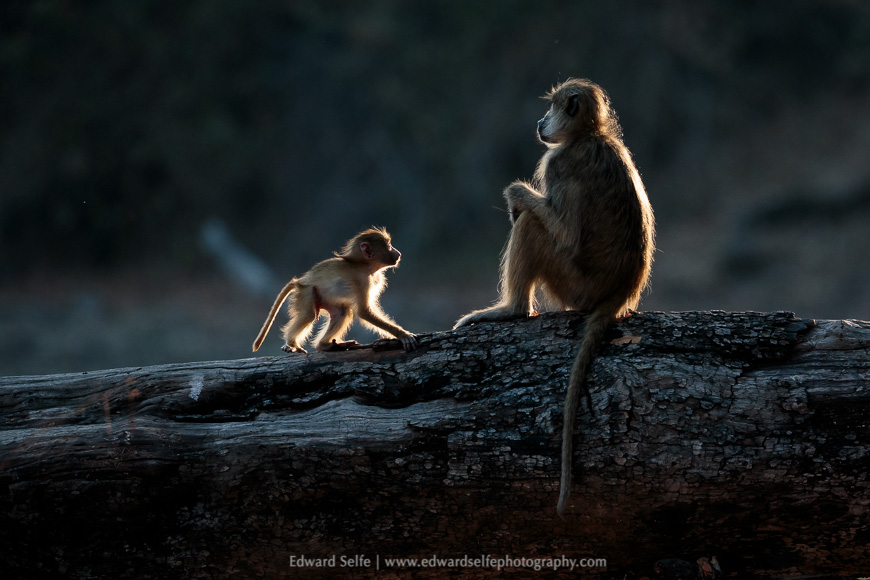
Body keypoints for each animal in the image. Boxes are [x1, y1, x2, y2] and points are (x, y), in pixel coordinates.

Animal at [252, 227, 417, 355]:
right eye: (389, 246)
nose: (398, 253)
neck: (364, 265)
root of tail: (300, 281)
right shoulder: (362, 281)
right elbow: (364, 312)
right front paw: (402, 334)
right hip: (307, 292)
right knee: (308, 314)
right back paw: (292, 343)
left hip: (323, 299)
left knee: (343, 311)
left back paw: (324, 345)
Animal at [454, 79, 655, 518]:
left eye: (552, 108)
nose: (539, 123)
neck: (588, 135)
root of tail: (618, 294)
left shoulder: (558, 164)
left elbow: (563, 232)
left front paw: (515, 194)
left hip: (573, 285)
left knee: (532, 225)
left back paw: (510, 310)